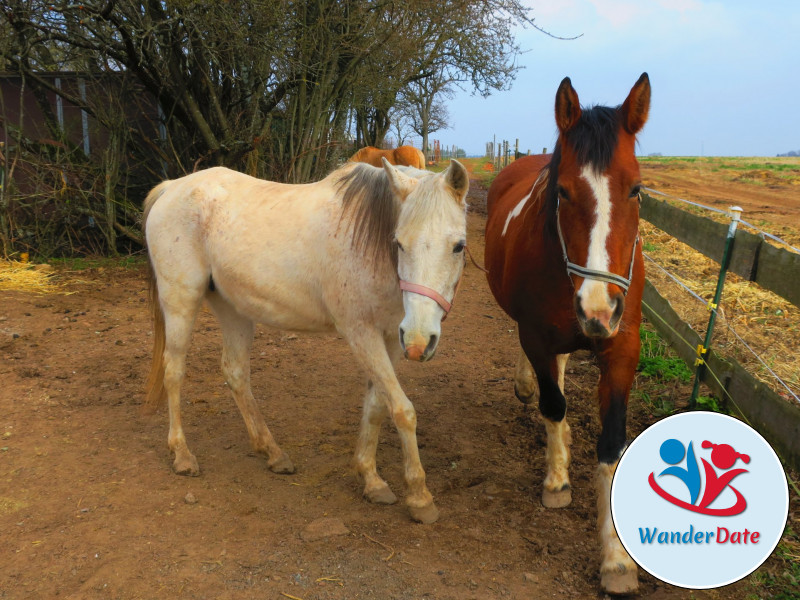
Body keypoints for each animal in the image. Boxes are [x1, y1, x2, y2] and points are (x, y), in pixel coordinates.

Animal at [144, 158, 468, 520]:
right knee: (174, 372)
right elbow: (402, 410)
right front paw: (420, 498)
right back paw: (182, 455)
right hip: (181, 300)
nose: (419, 342)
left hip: (232, 307)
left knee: (235, 372)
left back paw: (272, 453)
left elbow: (376, 406)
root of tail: (172, 188)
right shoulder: (361, 334)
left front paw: (371, 479)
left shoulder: (389, 337)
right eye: (398, 243)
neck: (368, 242)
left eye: (459, 246)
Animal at [484, 72, 648, 592]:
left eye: (636, 189)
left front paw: (616, 559)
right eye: (563, 192)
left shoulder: (622, 346)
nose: (598, 307)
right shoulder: (536, 336)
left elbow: (612, 445)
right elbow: (553, 404)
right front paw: (556, 481)